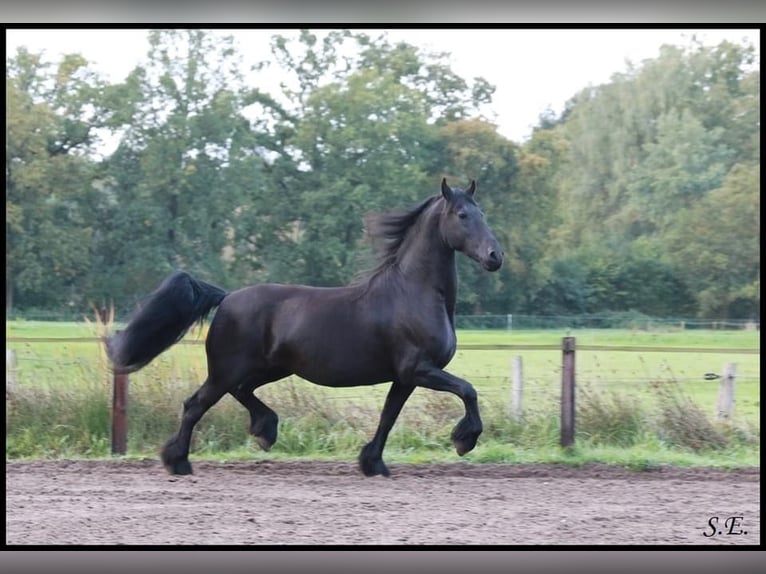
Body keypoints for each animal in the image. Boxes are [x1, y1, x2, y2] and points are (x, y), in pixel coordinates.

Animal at [107, 178, 504, 477]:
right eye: (463, 215)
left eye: (483, 213)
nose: (495, 257)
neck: (413, 292)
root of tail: (228, 296)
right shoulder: (419, 369)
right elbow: (468, 391)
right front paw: (464, 440)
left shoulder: (405, 377)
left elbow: (388, 417)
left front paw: (373, 463)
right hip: (227, 369)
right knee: (196, 404)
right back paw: (179, 462)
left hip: (269, 368)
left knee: (241, 391)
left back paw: (265, 430)